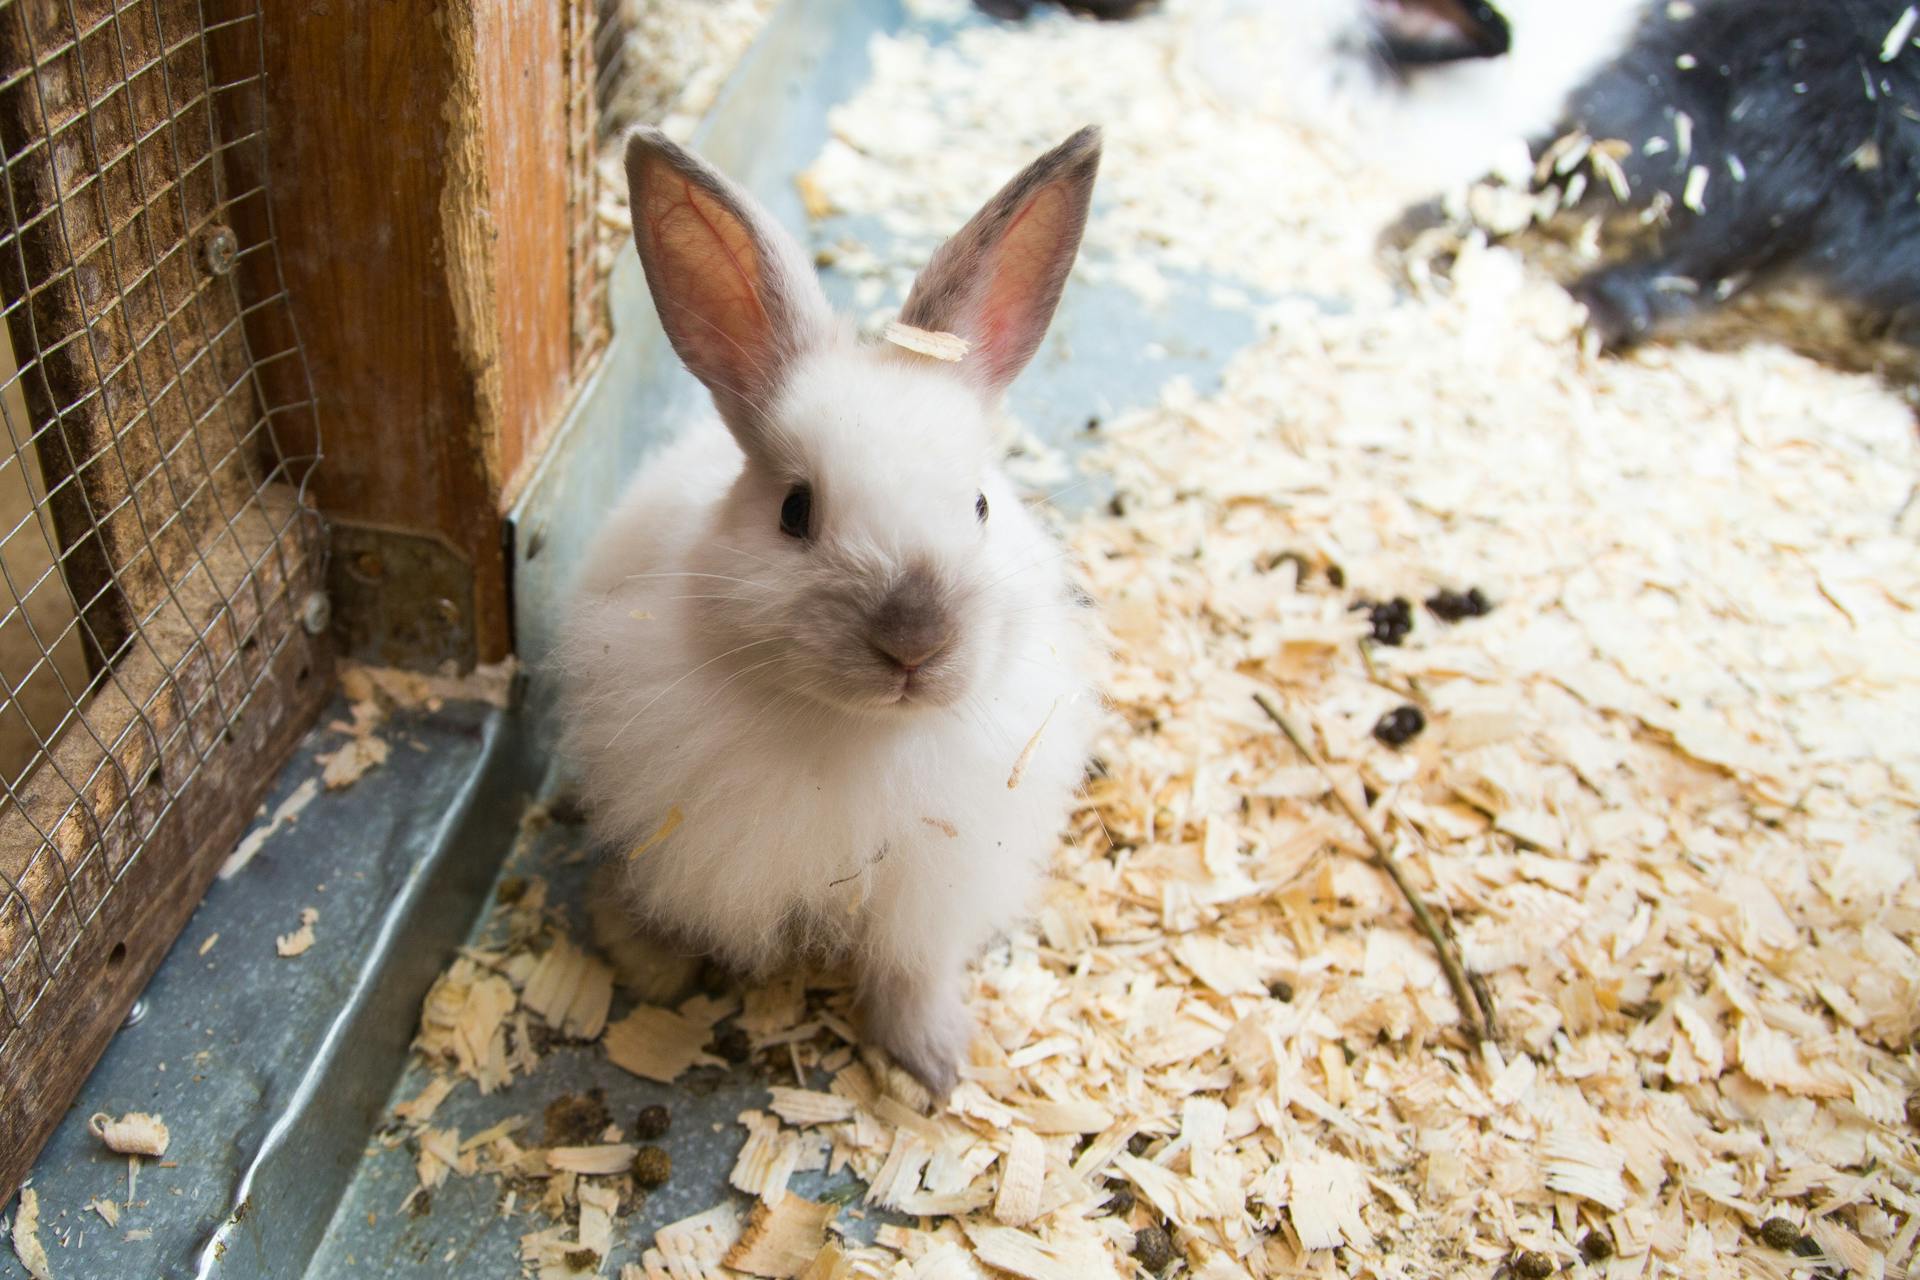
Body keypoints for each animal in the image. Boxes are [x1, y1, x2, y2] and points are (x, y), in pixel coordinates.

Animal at [556, 124, 1105, 1097]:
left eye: (979, 505)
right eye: (795, 511)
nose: (913, 642)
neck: (859, 736)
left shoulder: (931, 893)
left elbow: (911, 972)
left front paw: (935, 1064)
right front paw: (651, 970)